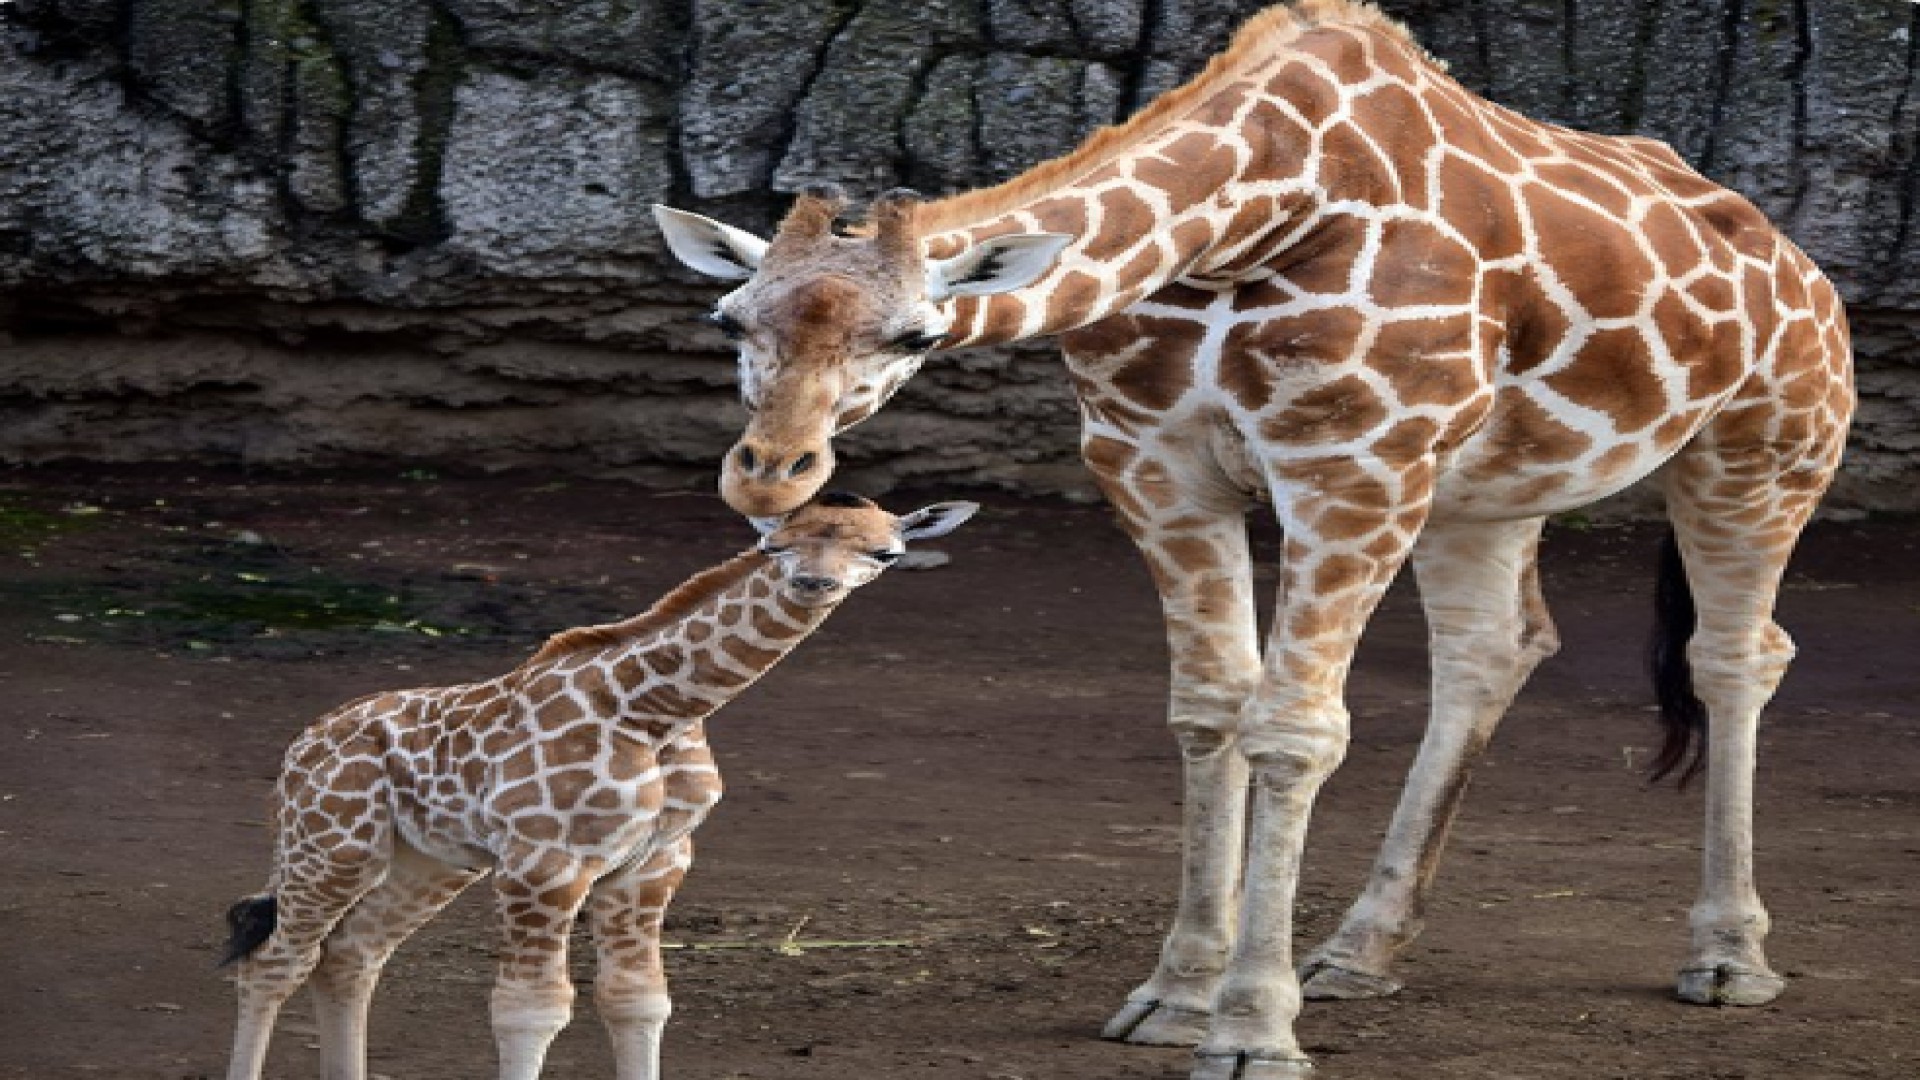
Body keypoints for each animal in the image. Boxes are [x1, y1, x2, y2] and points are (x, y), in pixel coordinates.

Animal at [217, 495, 983, 1076]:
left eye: (884, 553)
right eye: (774, 547)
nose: (813, 585)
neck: (654, 712)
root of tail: (302, 744)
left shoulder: (654, 864)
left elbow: (637, 1000)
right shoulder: (542, 863)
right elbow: (530, 1011)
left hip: (427, 861)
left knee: (350, 956)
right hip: (332, 845)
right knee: (275, 962)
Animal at [652, 4, 1850, 1068]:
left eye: (916, 334)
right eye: (728, 318)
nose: (770, 469)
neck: (1250, 221)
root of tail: (1800, 262)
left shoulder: (1349, 462)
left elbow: (1295, 730)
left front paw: (1251, 1031)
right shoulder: (1155, 464)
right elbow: (1209, 715)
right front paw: (1177, 995)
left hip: (1764, 445)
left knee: (1735, 656)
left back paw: (1728, 958)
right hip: (1483, 487)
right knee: (1492, 649)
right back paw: (1362, 952)